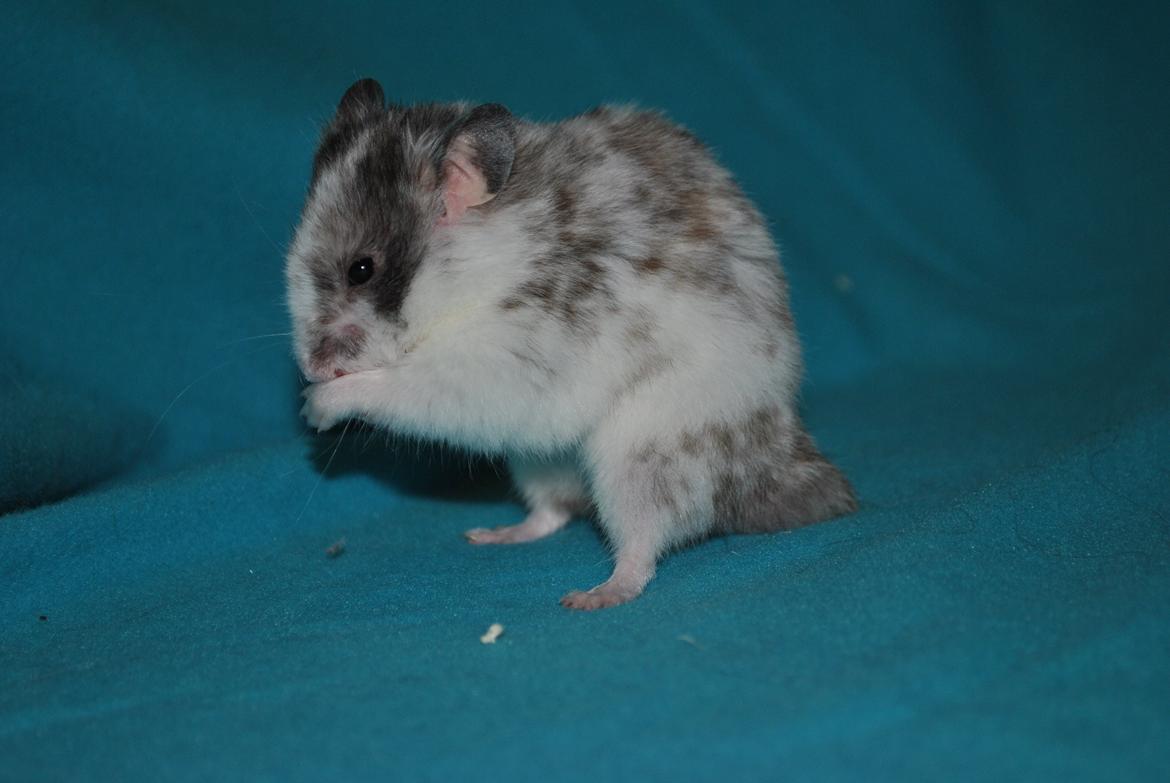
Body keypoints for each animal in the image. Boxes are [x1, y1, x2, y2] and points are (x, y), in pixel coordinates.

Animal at [288, 78, 857, 610]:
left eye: (361, 269)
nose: (312, 368)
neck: (480, 272)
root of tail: (778, 461)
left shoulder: (502, 365)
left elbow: (398, 387)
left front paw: (316, 408)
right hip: (541, 461)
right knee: (554, 511)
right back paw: (492, 536)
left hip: (645, 454)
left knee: (644, 543)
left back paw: (592, 596)